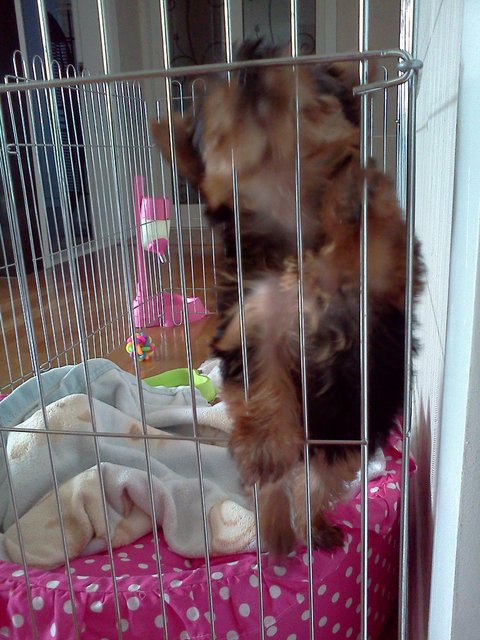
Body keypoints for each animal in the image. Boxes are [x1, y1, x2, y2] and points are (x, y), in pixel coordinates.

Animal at [151, 41, 424, 555]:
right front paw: (265, 448)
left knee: (316, 482)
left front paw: (353, 193)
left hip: (344, 437)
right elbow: (265, 382)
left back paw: (312, 526)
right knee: (277, 484)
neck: (289, 208)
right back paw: (276, 529)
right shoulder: (251, 324)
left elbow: (376, 236)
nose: (252, 75)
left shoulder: (385, 284)